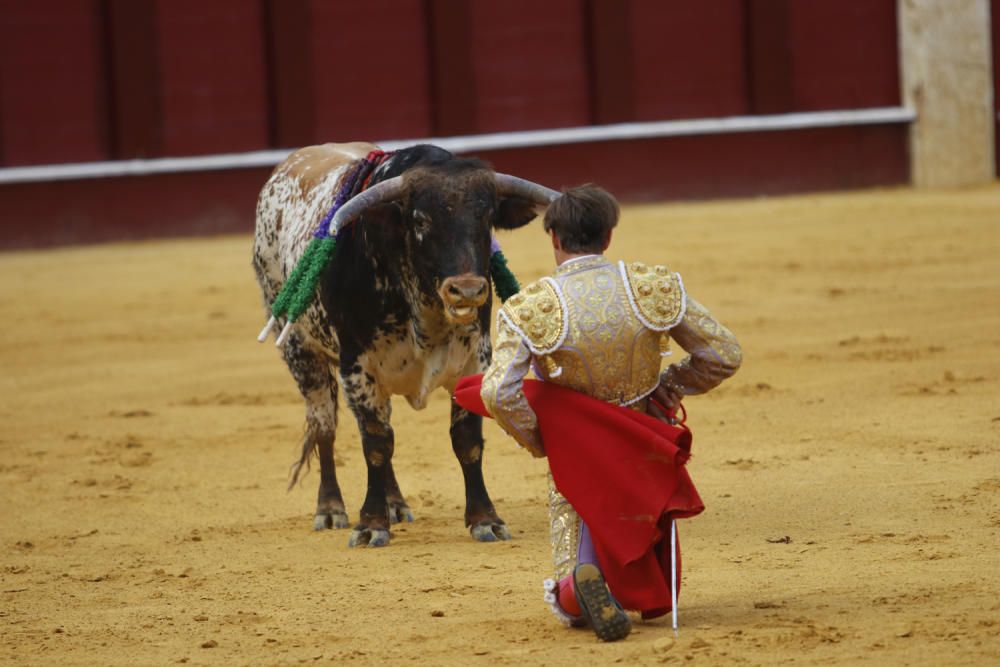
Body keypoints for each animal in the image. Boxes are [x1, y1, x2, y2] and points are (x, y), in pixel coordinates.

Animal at [250, 141, 556, 548]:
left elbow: (466, 440)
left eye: (487, 218)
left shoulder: (474, 360)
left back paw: (395, 503)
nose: (467, 290)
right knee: (325, 426)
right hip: (300, 352)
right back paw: (330, 509)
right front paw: (371, 524)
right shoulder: (356, 369)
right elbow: (375, 444)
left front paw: (485, 519)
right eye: (420, 221)